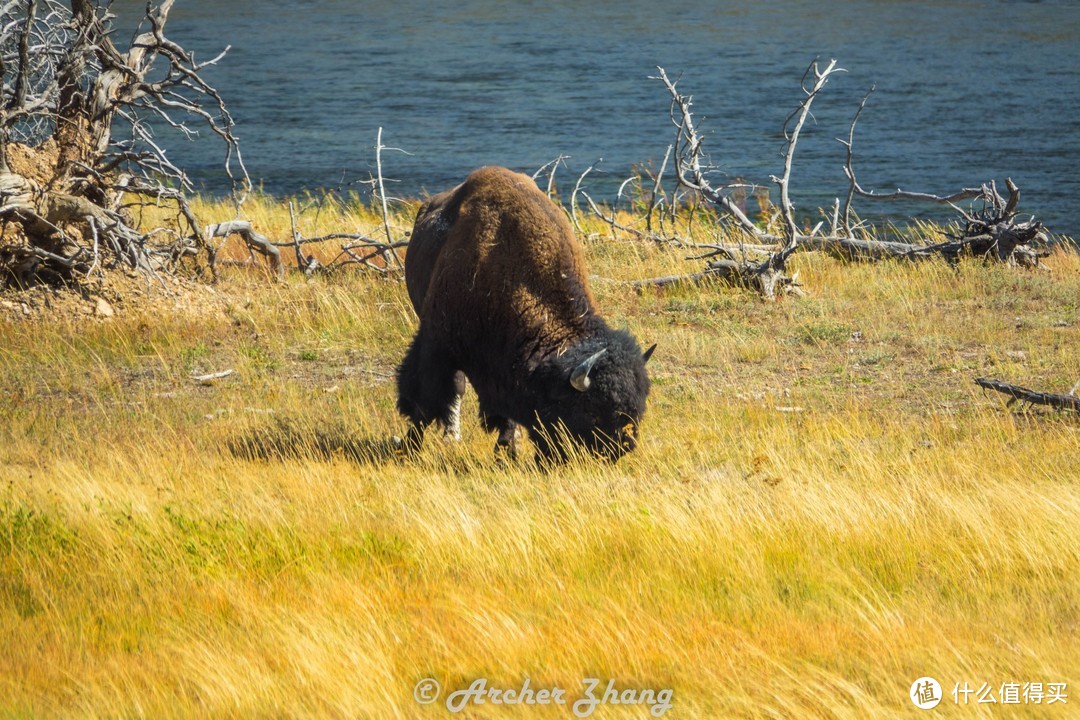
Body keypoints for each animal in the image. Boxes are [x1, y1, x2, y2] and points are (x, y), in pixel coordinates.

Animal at [395, 167, 648, 464]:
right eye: (592, 411)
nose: (620, 448)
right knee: (453, 388)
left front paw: (507, 447)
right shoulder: (436, 343)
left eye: (638, 408)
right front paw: (409, 446)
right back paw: (449, 436)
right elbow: (426, 398)